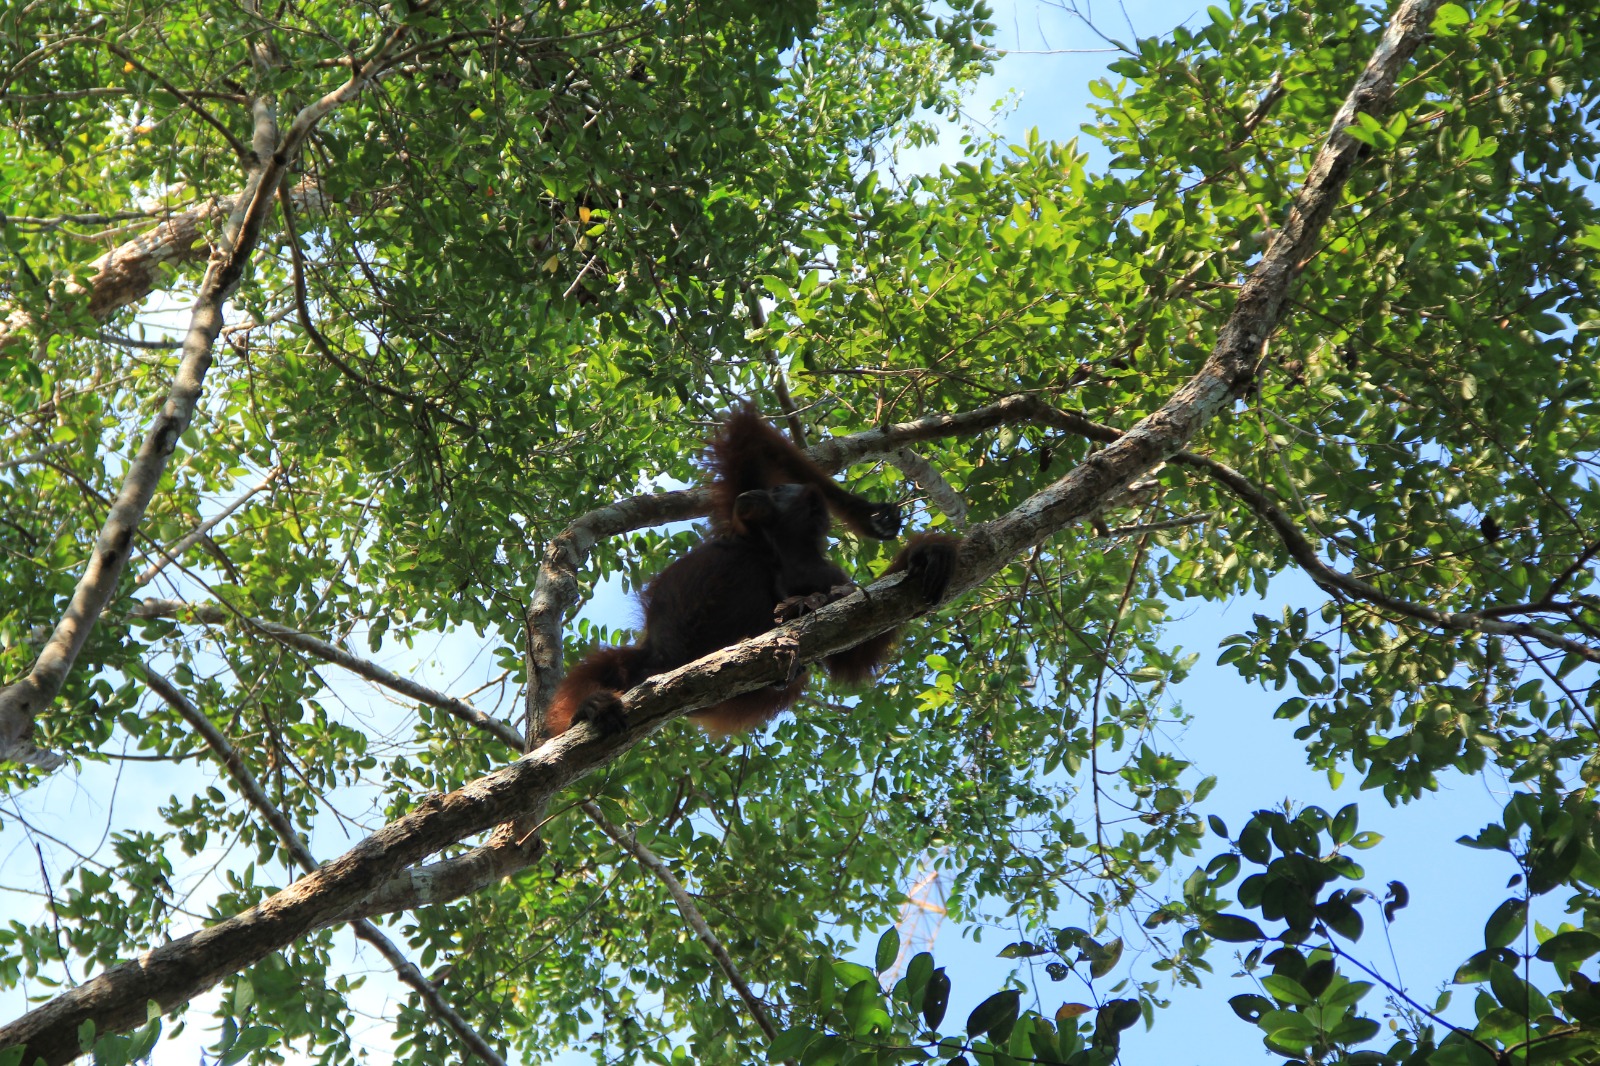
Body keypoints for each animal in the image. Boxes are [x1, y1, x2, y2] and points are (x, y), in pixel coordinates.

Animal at [546, 408, 959, 737]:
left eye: (777, 492)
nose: (756, 496)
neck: (781, 549)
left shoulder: (828, 573)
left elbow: (853, 647)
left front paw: (922, 554)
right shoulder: (738, 518)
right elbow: (747, 433)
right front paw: (866, 514)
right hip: (645, 662)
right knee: (607, 667)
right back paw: (590, 707)